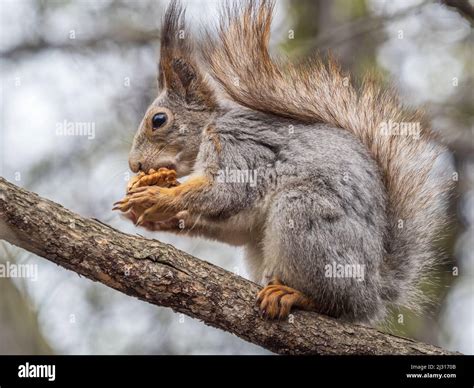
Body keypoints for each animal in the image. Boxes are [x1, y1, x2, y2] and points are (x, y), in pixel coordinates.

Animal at [114, 0, 452, 322]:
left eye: (158, 120)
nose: (135, 166)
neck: (210, 128)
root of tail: (373, 294)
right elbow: (232, 225)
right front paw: (157, 217)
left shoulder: (240, 148)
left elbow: (227, 193)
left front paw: (156, 196)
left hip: (305, 214)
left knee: (335, 302)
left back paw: (295, 295)